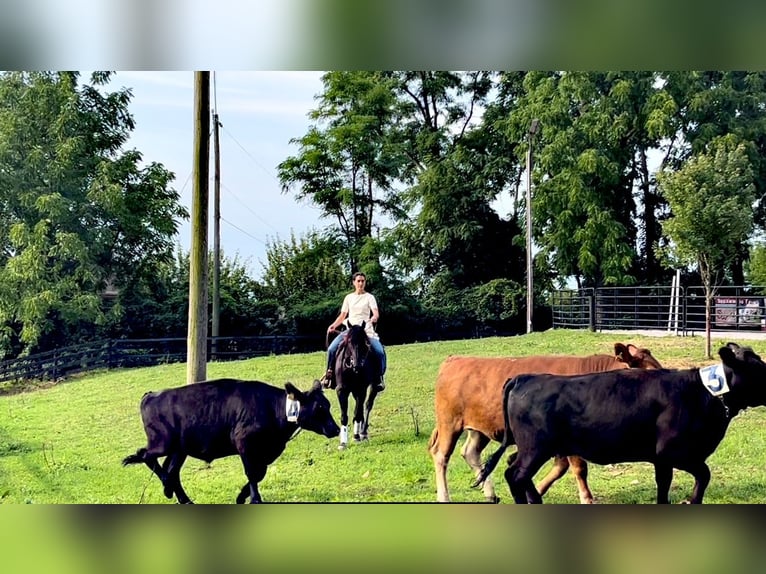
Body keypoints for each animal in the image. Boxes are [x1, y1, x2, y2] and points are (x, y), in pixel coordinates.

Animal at [123, 378, 340, 504]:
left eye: (328, 405)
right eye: (319, 407)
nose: (336, 429)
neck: (273, 409)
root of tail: (151, 394)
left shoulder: (266, 452)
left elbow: (260, 473)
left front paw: (241, 496)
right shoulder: (244, 444)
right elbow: (253, 473)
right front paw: (255, 499)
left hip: (179, 449)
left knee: (172, 471)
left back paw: (178, 496)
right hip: (162, 443)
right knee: (145, 455)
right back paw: (169, 487)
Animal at [428, 342, 664, 504]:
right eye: (649, 371)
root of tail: (455, 359)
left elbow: (560, 467)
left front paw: (537, 490)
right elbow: (578, 468)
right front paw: (586, 498)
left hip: (480, 428)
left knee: (470, 452)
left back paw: (490, 494)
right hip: (449, 422)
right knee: (441, 455)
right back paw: (444, 497)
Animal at [476, 342, 766, 504]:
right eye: (756, 367)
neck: (701, 393)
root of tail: (524, 378)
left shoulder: (661, 459)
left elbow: (663, 487)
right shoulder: (674, 452)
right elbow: (704, 474)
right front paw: (692, 501)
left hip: (531, 448)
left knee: (513, 466)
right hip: (536, 448)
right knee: (516, 474)